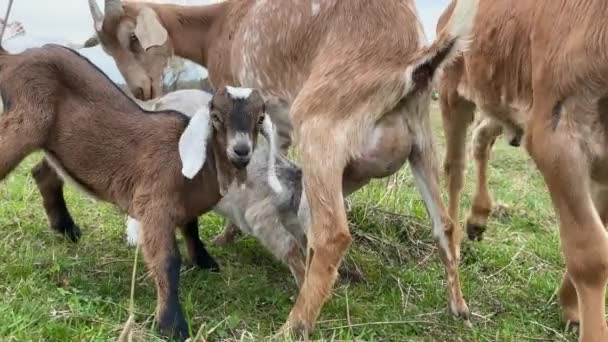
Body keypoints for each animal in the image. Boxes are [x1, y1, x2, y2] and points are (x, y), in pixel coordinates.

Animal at [82, 0, 480, 336]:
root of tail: (417, 62)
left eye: (133, 38)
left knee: (332, 233)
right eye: (106, 48)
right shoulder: (279, 128)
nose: (141, 90)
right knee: (444, 224)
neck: (219, 24)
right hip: (419, 144)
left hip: (322, 129)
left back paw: (294, 325)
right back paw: (459, 308)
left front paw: (226, 234)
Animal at [436, 1, 608, 340]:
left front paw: (570, 306)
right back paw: (456, 289)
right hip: (452, 91)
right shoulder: (555, 135)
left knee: (482, 139)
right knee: (454, 171)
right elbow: (590, 252)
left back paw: (478, 217)